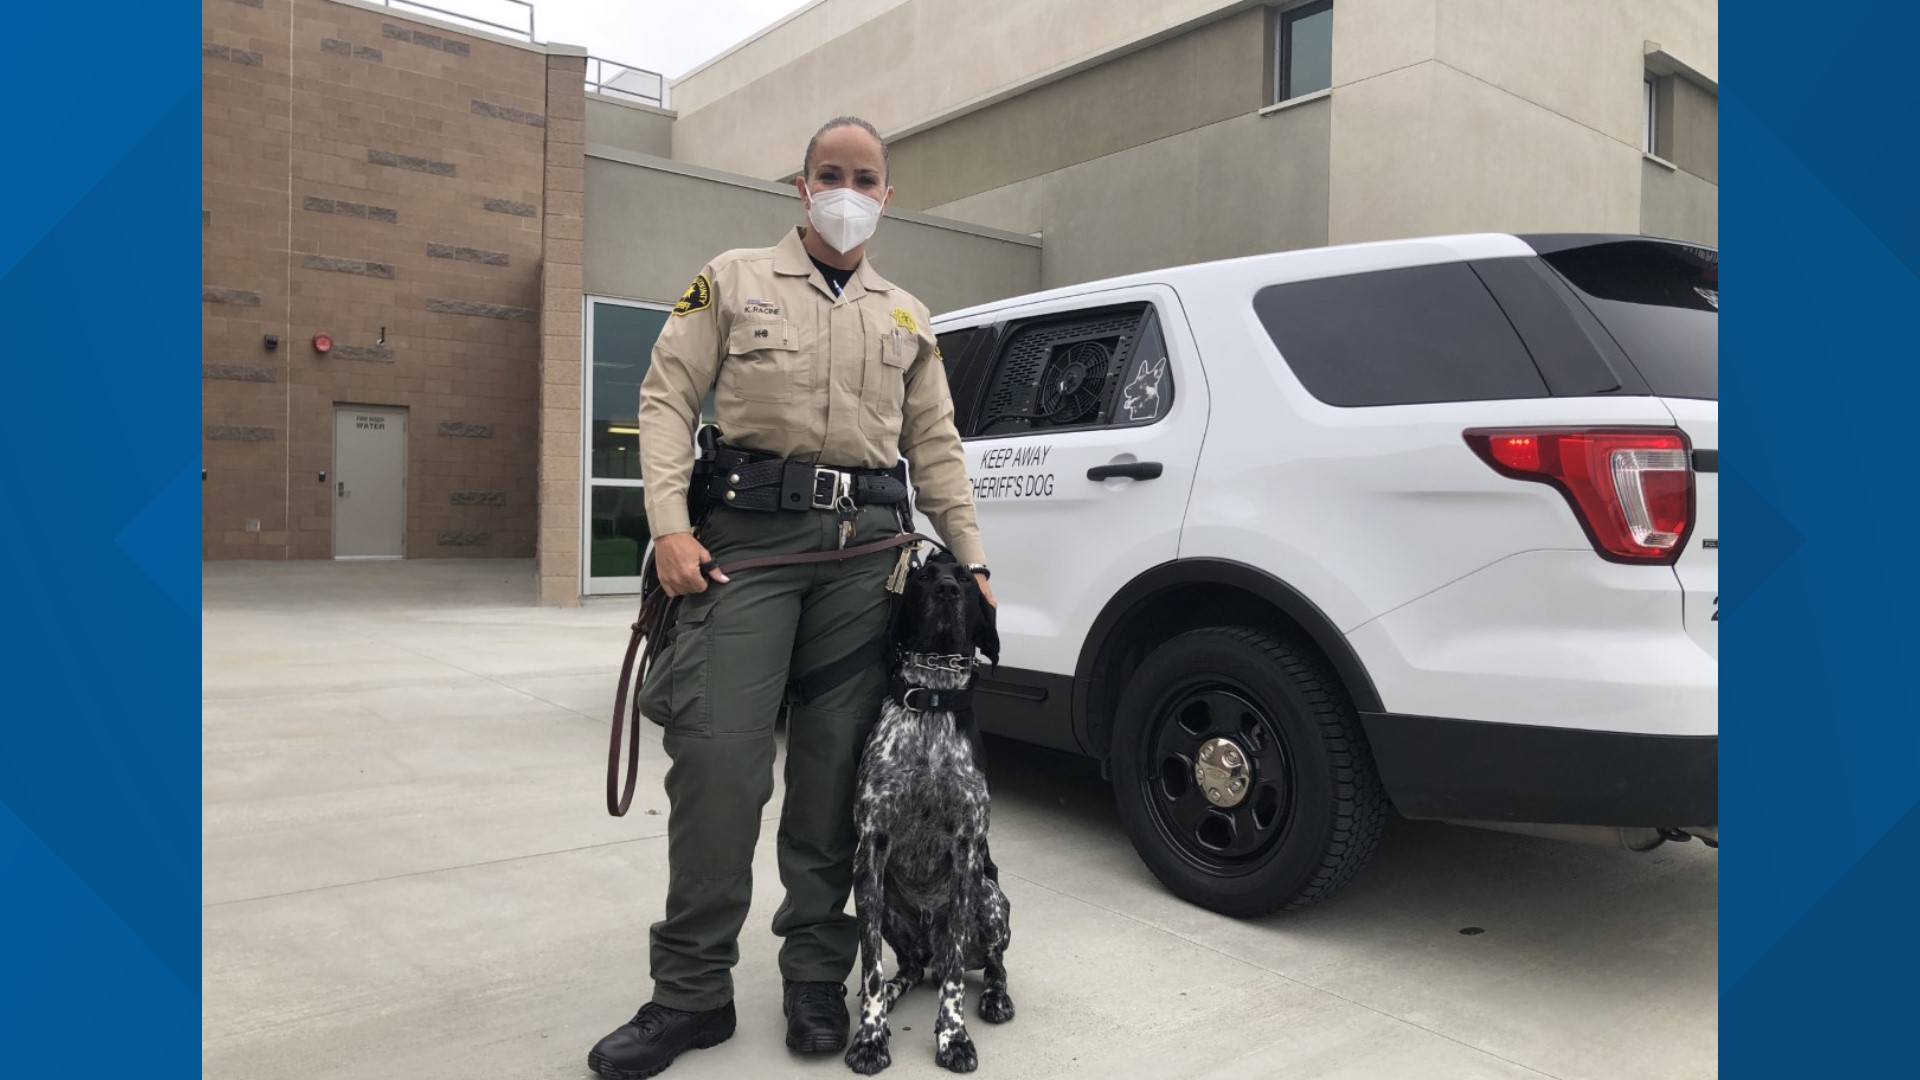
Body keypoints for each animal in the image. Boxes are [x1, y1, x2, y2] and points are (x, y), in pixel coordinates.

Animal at [844, 549, 1013, 1068]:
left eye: (967, 581)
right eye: (921, 577)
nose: (947, 590)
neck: (934, 700)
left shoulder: (966, 853)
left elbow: (958, 969)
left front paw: (953, 1037)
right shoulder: (870, 850)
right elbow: (871, 967)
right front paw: (870, 1036)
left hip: (992, 901)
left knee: (989, 966)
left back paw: (996, 998)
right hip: (880, 904)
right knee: (909, 969)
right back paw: (893, 992)